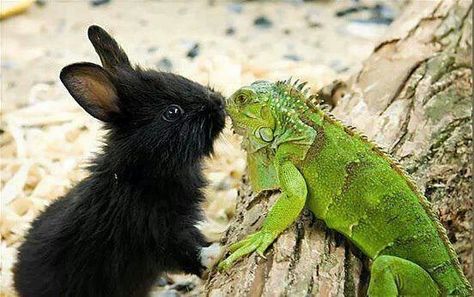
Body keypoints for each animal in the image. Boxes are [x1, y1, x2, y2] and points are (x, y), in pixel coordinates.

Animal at [12, 25, 224, 296]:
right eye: (172, 112)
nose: (219, 103)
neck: (140, 172)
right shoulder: (155, 233)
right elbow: (185, 253)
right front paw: (215, 252)